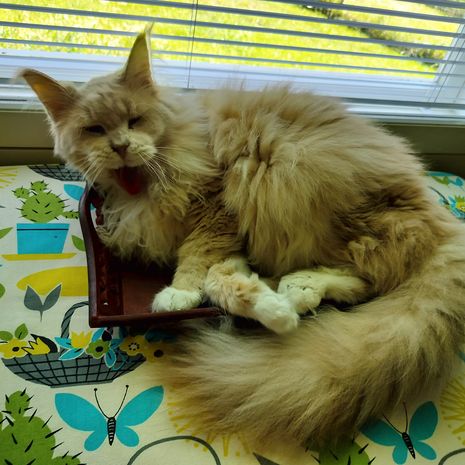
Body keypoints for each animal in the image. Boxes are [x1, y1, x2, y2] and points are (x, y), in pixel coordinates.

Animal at [21, 28, 465, 447]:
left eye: (134, 120)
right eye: (95, 129)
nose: (120, 146)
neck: (143, 185)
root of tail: (442, 220)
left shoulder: (216, 213)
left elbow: (197, 265)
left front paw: (180, 295)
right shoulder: (229, 247)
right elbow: (222, 283)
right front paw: (274, 311)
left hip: (307, 200)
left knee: (372, 276)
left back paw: (301, 286)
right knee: (362, 282)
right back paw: (297, 292)